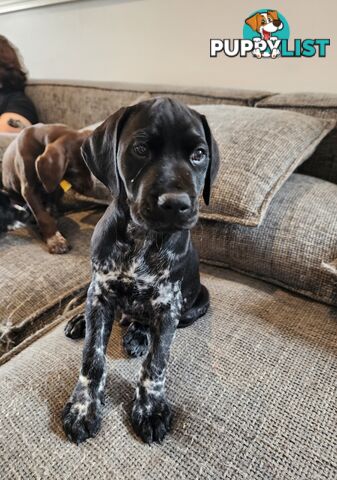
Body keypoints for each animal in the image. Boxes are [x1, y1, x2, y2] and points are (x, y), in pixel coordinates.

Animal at [1, 124, 93, 253]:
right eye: (75, 171)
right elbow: (43, 216)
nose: (91, 188)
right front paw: (54, 239)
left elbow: (48, 211)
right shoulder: (29, 190)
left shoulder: (54, 189)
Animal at [61, 98, 219, 446]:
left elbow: (156, 363)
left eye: (199, 154)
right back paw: (82, 320)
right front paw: (83, 407)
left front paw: (150, 408)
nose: (176, 204)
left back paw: (136, 334)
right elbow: (92, 357)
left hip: (196, 303)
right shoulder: (101, 291)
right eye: (141, 148)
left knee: (143, 322)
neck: (142, 239)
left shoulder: (168, 305)